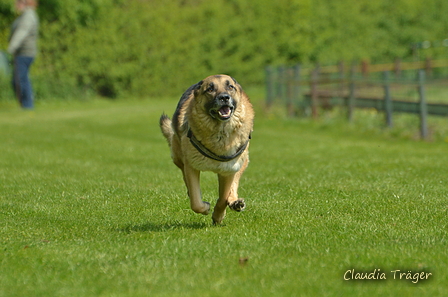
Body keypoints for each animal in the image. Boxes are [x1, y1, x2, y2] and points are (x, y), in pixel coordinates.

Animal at [159, 74, 254, 224]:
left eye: (230, 86)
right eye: (210, 89)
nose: (224, 97)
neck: (220, 131)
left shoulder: (228, 170)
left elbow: (223, 197)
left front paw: (218, 216)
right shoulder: (191, 167)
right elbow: (195, 201)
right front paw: (205, 208)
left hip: (241, 162)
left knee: (233, 187)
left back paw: (235, 203)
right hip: (179, 159)